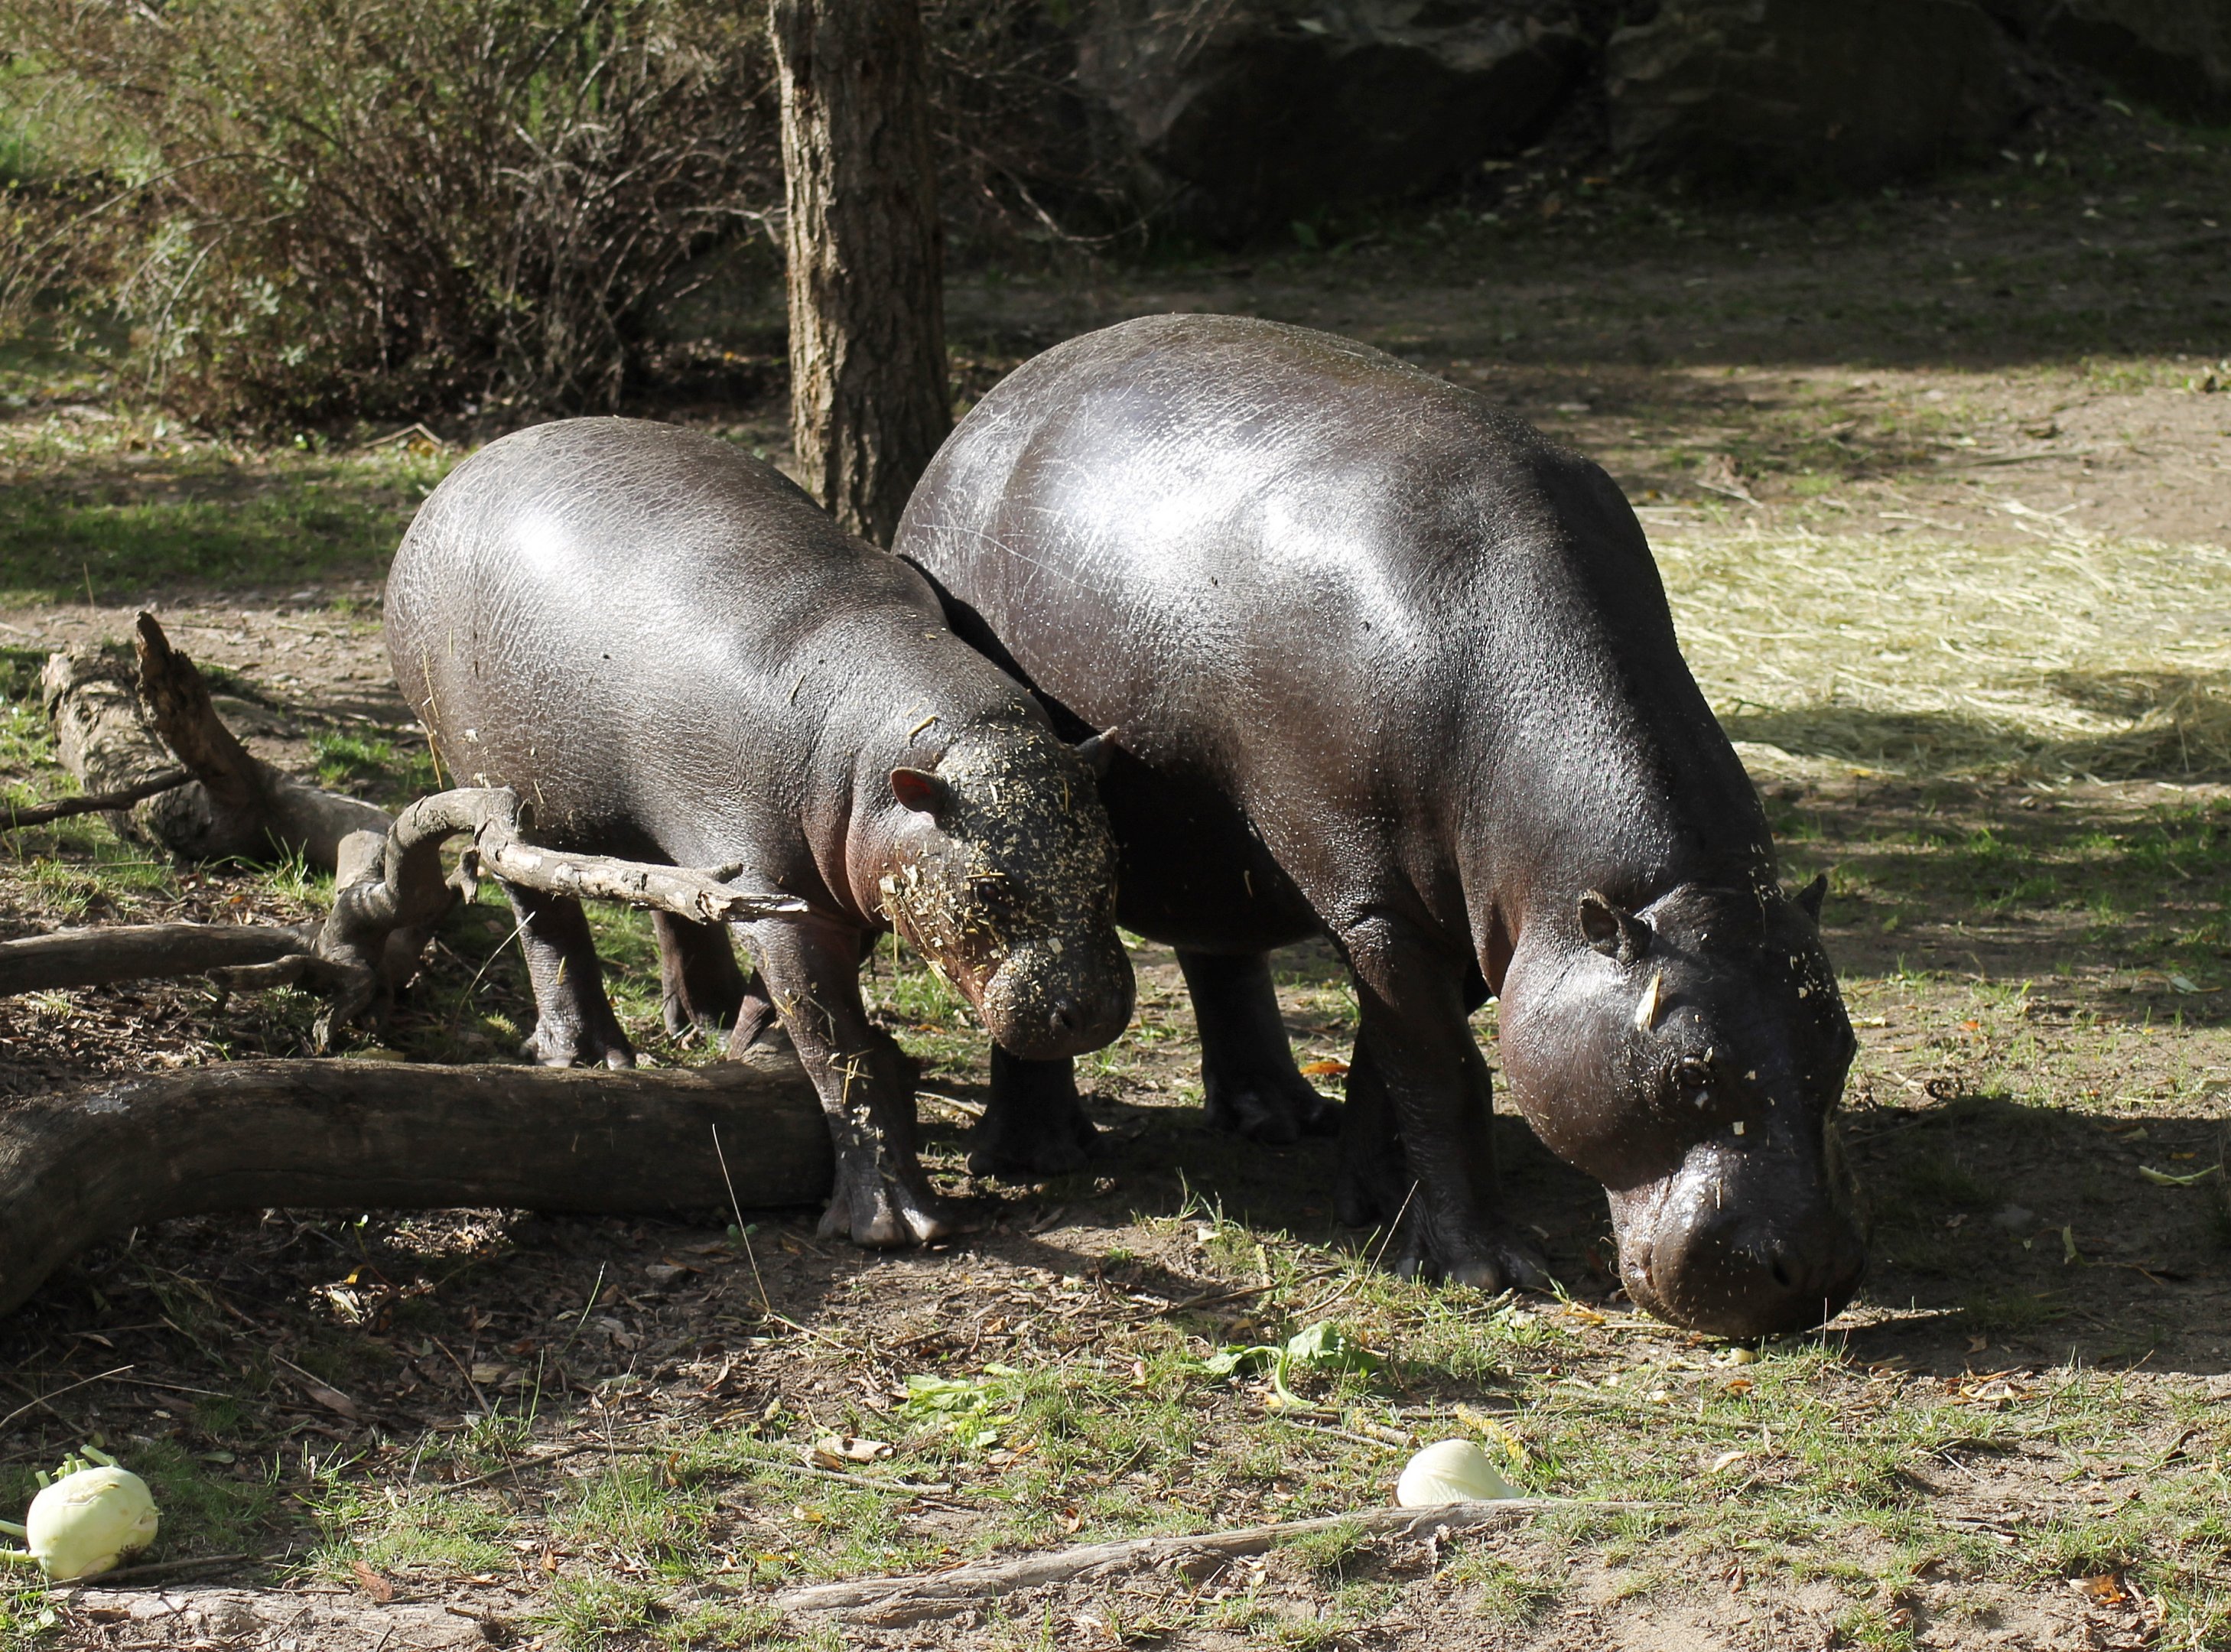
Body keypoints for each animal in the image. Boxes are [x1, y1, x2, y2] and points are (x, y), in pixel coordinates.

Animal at [386, 418, 1134, 1246]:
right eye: (987, 887)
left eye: (1110, 863)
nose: (1095, 1011)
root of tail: (459, 475)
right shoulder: (784, 901)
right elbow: (838, 1048)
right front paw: (895, 1226)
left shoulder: (831, 886)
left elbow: (786, 1000)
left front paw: (747, 1043)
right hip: (497, 785)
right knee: (545, 918)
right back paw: (588, 1060)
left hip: (664, 836)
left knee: (669, 902)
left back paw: (699, 1022)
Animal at [895, 315, 1866, 1336]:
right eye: (1687, 1073)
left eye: (1839, 1049)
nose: (1812, 1270)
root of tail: (987, 408)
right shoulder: (1380, 909)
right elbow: (1442, 1076)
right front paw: (1483, 1268)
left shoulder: (1477, 923)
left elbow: (1387, 1064)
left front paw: (1378, 1207)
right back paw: (1041, 1155)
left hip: (1221, 847)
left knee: (1221, 956)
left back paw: (1279, 1119)